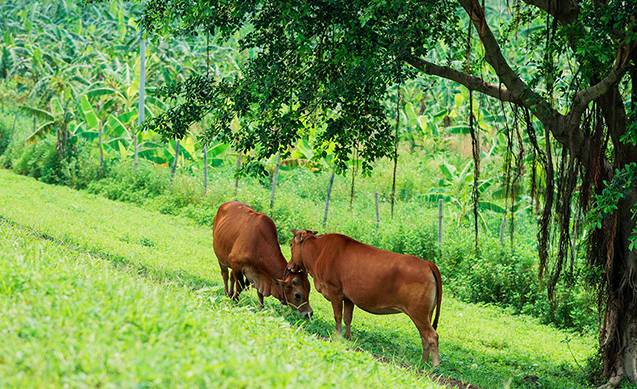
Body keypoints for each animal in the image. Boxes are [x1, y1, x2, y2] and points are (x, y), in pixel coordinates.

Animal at [286, 229, 440, 366]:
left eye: (291, 244)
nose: (289, 266)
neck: (318, 252)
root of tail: (427, 263)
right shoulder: (348, 298)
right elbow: (347, 318)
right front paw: (348, 338)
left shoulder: (335, 292)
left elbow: (338, 317)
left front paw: (337, 337)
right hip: (426, 314)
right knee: (424, 337)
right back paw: (423, 362)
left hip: (418, 313)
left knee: (432, 336)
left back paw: (434, 366)